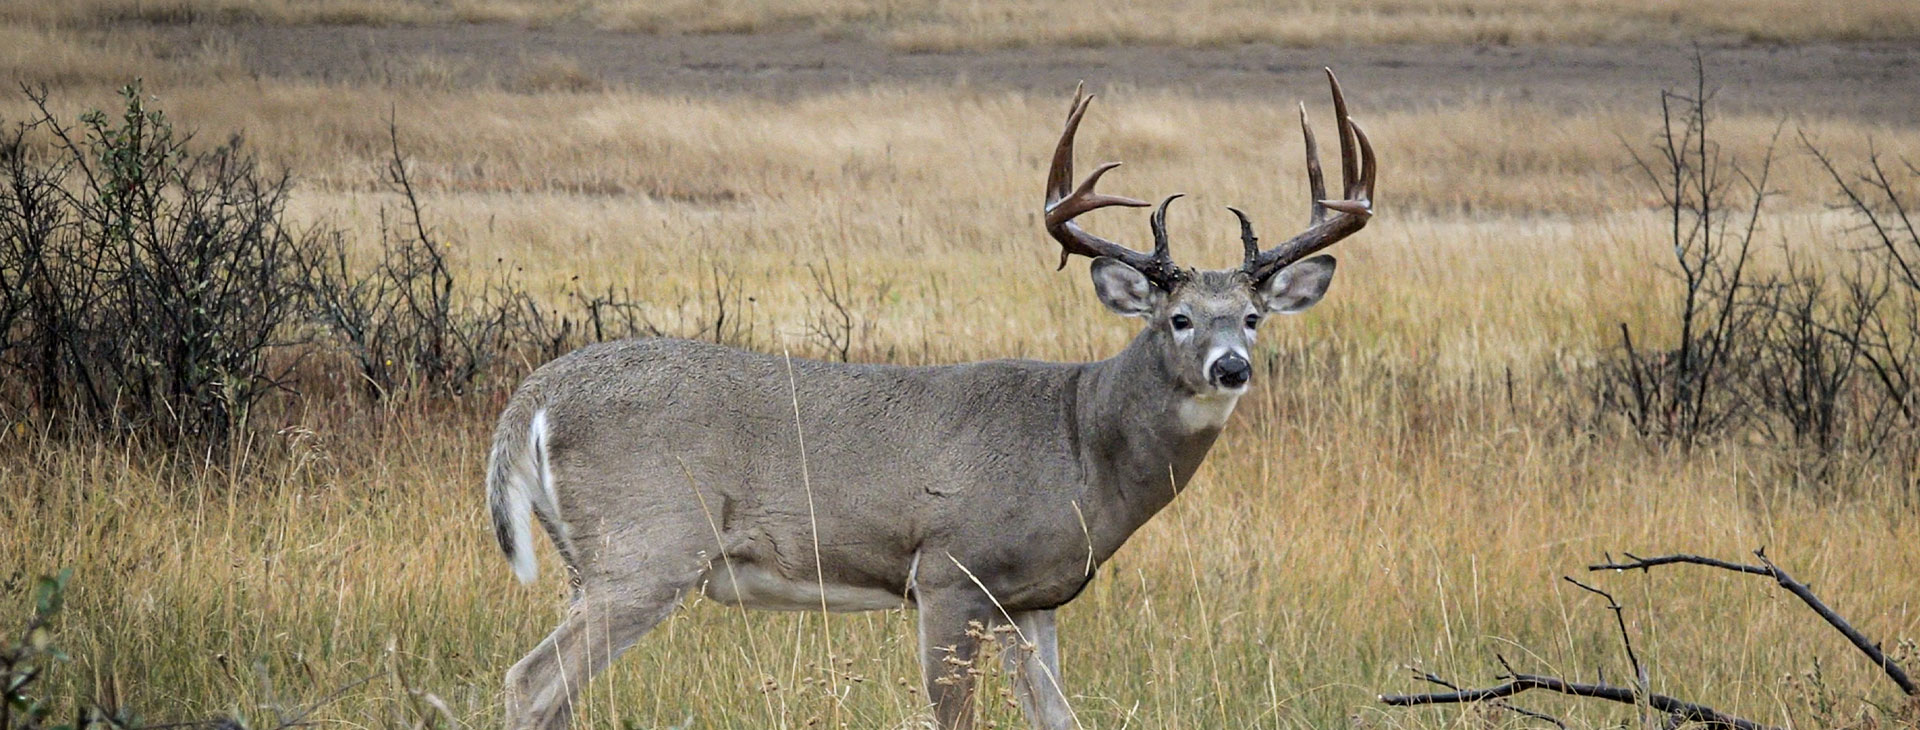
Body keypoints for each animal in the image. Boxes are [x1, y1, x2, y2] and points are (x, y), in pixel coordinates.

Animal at [487, 69, 1374, 730]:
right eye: (1179, 317)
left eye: (1254, 317)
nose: (1231, 368)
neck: (1080, 441)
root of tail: (534, 398)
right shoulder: (949, 571)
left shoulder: (1031, 600)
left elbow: (1060, 717)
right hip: (649, 546)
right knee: (531, 681)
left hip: (594, 560)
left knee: (556, 689)